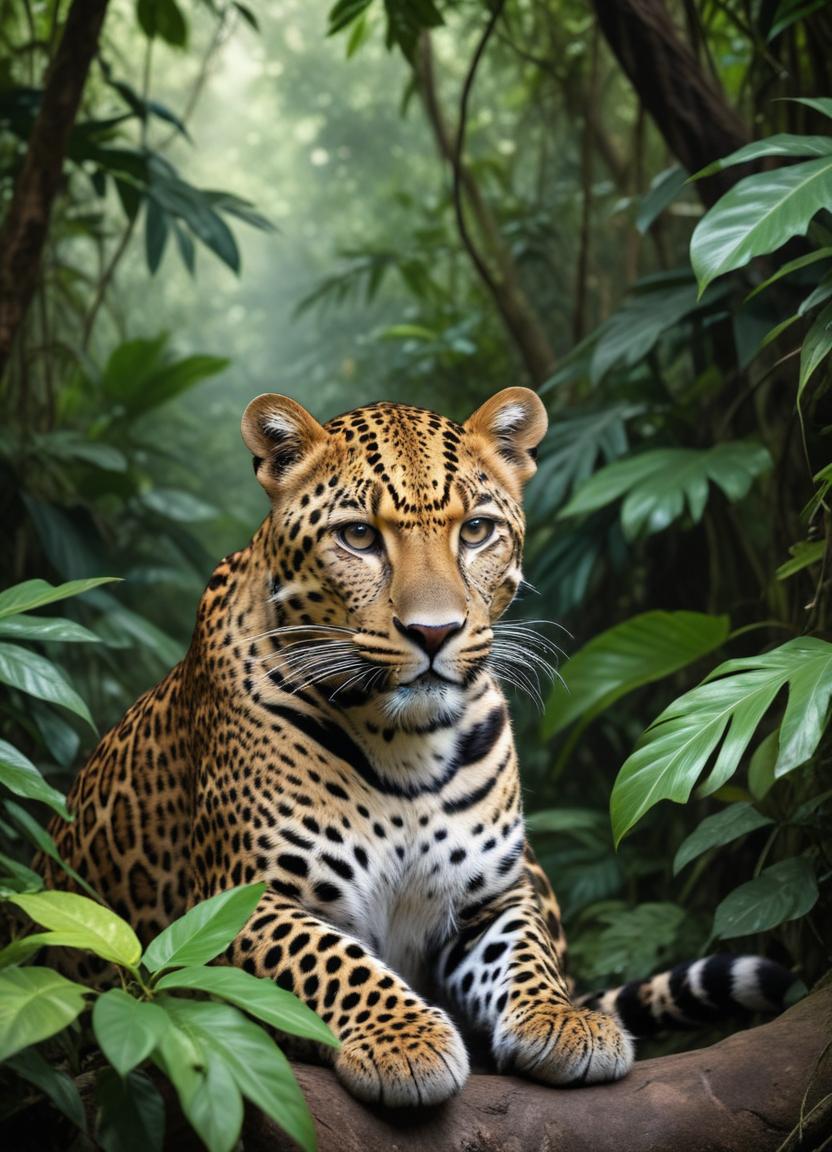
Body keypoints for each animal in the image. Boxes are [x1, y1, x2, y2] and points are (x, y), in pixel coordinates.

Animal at [41, 387, 794, 1107]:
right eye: (358, 536)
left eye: (477, 531)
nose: (434, 633)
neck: (404, 740)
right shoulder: (237, 905)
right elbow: (333, 959)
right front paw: (403, 1039)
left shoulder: (496, 891)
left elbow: (527, 952)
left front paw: (559, 1019)